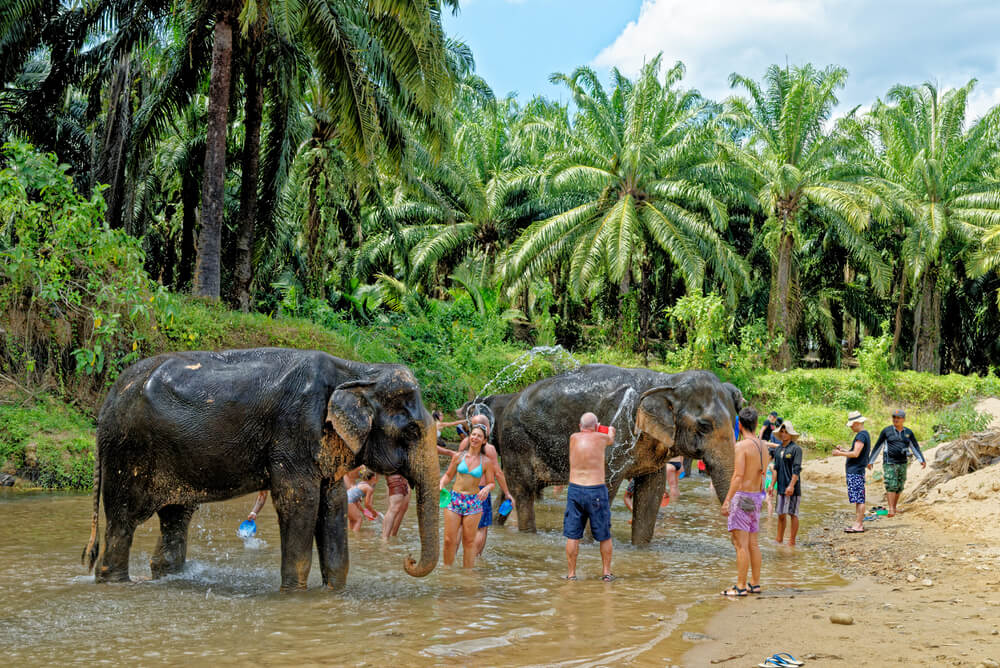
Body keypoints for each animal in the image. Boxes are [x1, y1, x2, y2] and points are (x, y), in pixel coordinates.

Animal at [84, 350, 444, 588]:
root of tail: (106, 403)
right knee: (124, 520)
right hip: (127, 452)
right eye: (412, 430)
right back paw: (115, 581)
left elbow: (333, 504)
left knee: (176, 516)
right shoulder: (294, 431)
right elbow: (298, 503)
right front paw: (294, 593)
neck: (359, 370)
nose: (408, 559)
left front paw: (334, 591)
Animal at [484, 366, 744, 544]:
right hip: (517, 439)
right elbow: (605, 488)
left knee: (510, 492)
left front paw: (640, 548)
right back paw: (529, 536)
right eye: (705, 426)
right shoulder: (618, 429)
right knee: (523, 491)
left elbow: (651, 494)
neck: (668, 380)